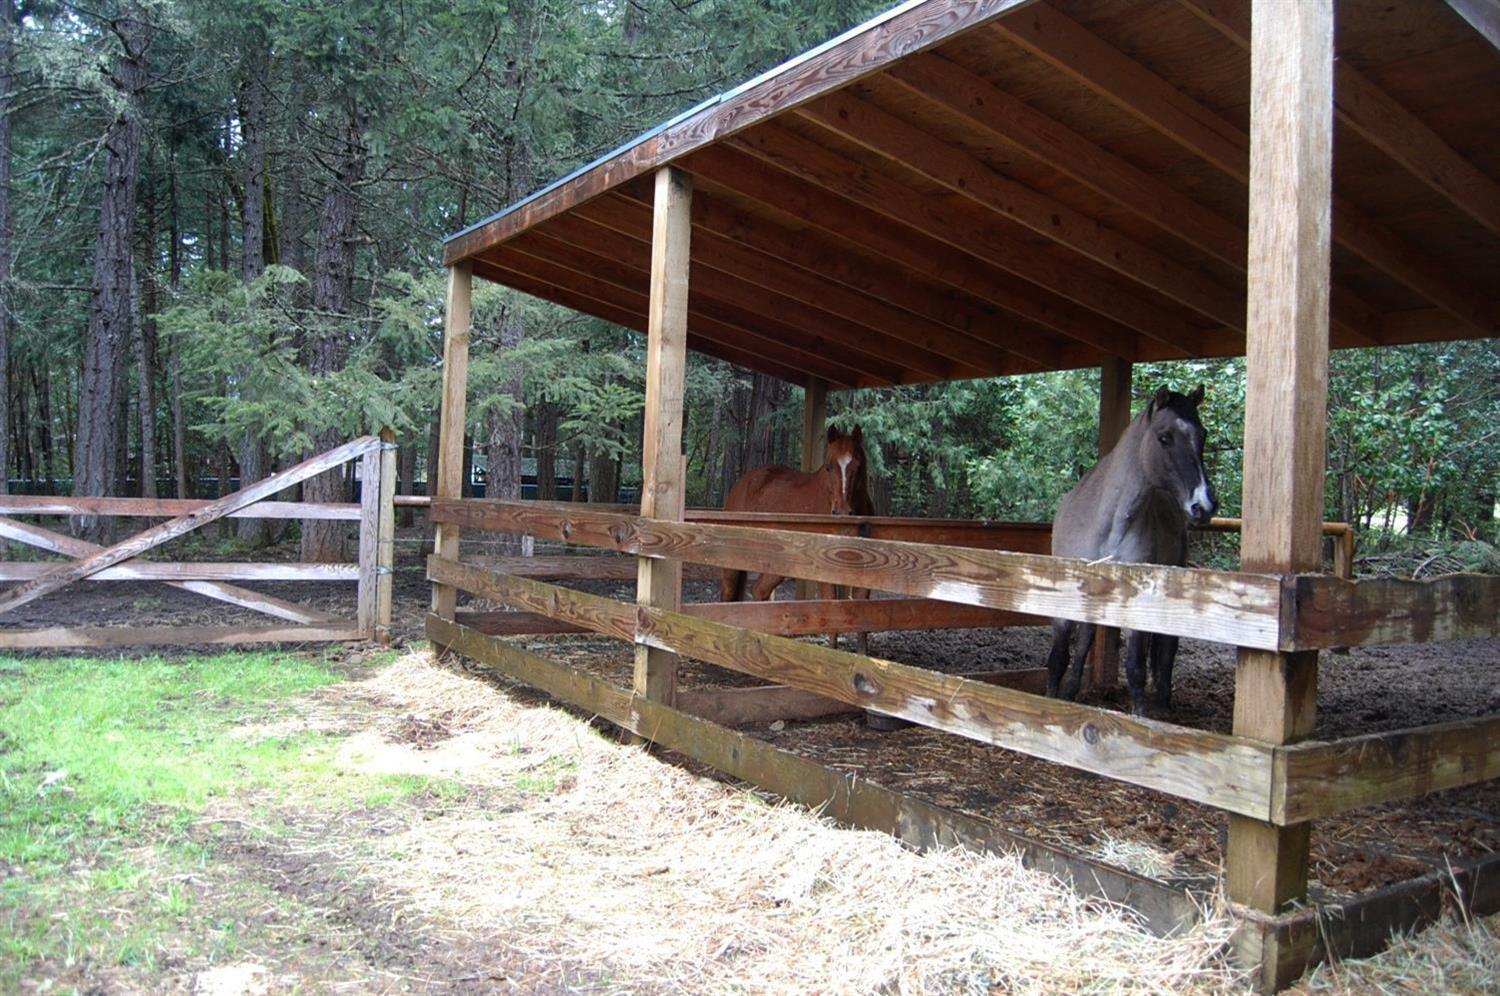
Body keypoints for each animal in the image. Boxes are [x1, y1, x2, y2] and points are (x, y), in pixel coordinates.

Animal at [720, 426, 869, 648]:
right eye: (828, 467)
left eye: (858, 466)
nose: (842, 512)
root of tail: (743, 483)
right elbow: (831, 609)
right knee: (728, 594)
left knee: (759, 591)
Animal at [1044, 386, 1217, 717]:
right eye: (1164, 437)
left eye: (1202, 435)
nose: (1203, 505)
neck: (1106, 521)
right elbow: (1061, 656)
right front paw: (1055, 699)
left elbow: (1136, 666)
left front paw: (1140, 715)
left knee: (1166, 647)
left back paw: (1162, 704)